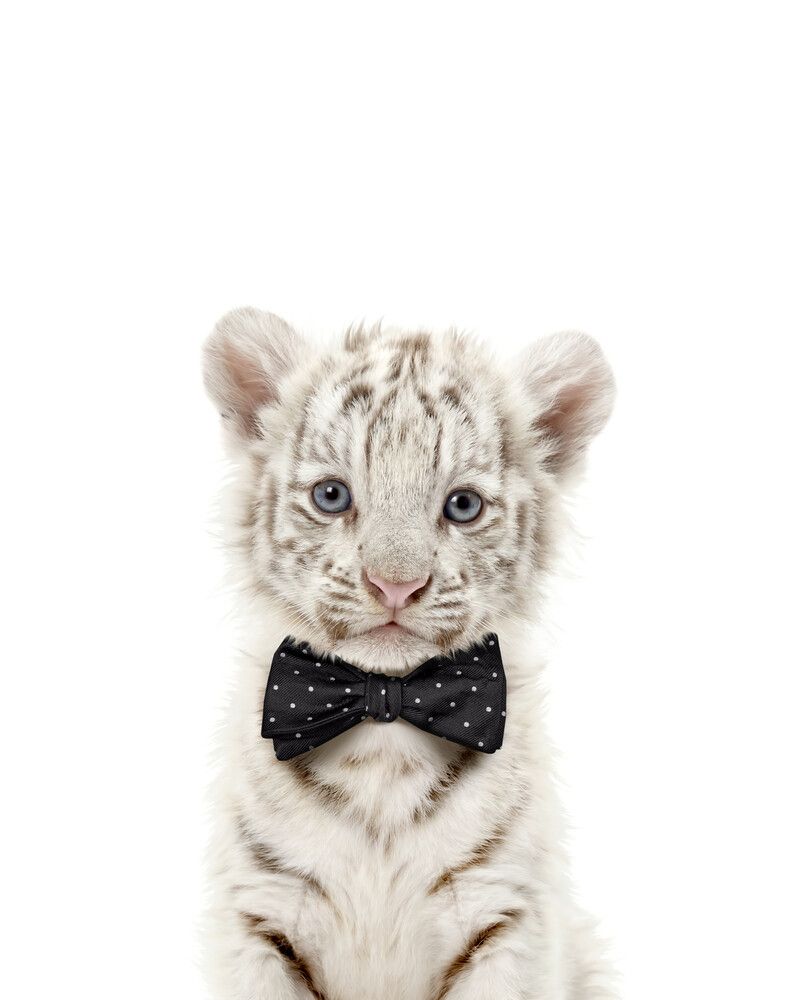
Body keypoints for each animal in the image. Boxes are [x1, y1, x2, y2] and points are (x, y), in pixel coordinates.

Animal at [201, 307, 617, 1000]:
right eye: (332, 496)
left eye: (463, 505)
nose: (394, 584)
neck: (384, 725)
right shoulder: (259, 915)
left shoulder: (505, 917)